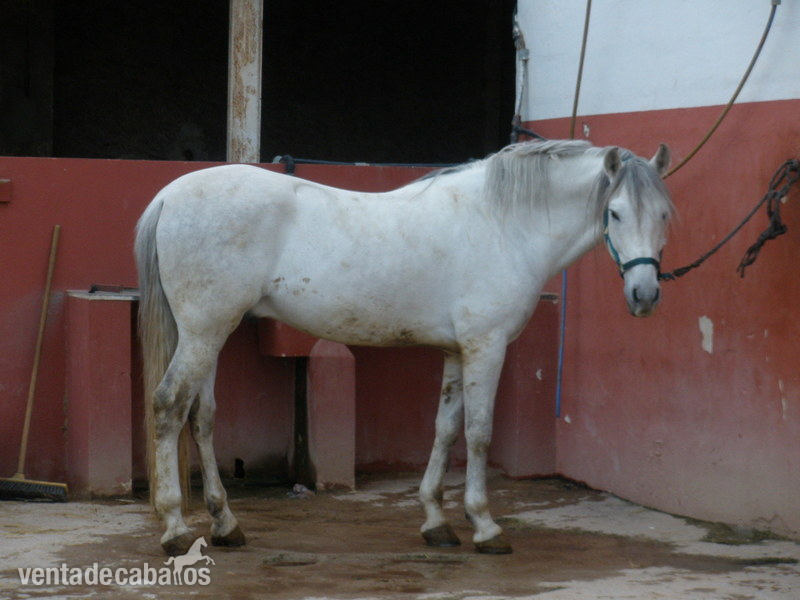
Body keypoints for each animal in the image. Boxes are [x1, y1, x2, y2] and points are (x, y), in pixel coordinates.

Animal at [135, 139, 673, 556]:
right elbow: (478, 433)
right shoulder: (486, 347)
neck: (502, 225)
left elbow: (445, 429)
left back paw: (225, 524)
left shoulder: (456, 351)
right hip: (204, 333)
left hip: (210, 334)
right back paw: (175, 529)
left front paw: (437, 522)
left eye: (665, 215)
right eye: (615, 213)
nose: (645, 296)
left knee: (201, 417)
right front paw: (485, 526)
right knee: (167, 407)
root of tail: (167, 196)